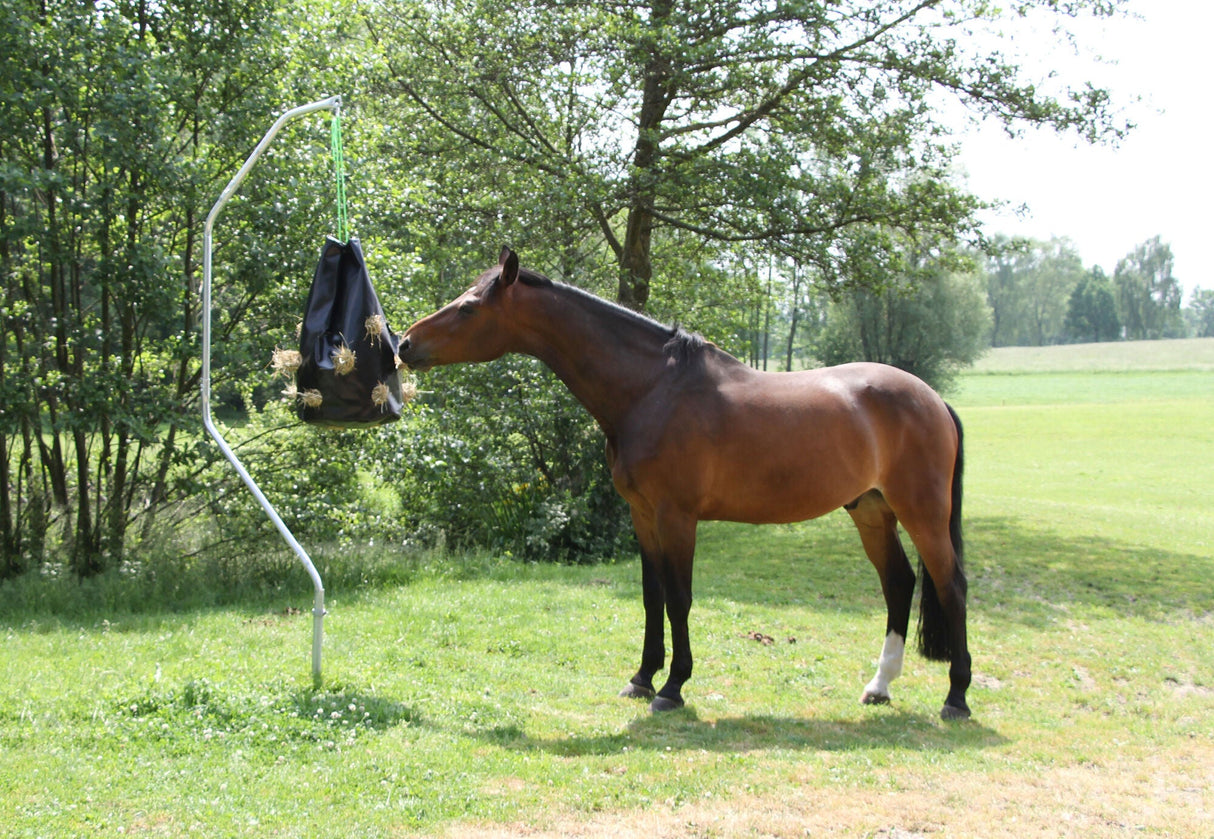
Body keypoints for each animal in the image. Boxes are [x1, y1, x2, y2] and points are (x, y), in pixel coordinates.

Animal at [398, 247, 972, 721]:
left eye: (469, 307)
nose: (404, 344)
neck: (654, 389)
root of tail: (933, 399)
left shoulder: (678, 517)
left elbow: (679, 598)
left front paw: (672, 688)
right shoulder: (643, 514)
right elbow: (652, 597)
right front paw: (641, 679)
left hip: (922, 514)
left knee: (951, 586)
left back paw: (956, 698)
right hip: (871, 510)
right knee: (899, 584)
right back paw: (880, 686)